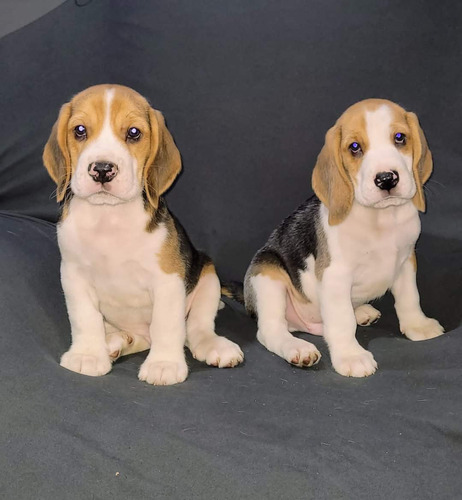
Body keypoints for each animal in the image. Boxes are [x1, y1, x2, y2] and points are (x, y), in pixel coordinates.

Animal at [43, 84, 244, 384]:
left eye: (134, 133)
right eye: (79, 130)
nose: (102, 169)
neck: (109, 217)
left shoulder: (168, 280)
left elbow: (166, 324)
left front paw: (164, 364)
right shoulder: (73, 275)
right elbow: (85, 318)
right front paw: (87, 355)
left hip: (208, 277)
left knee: (196, 327)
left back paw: (213, 346)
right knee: (138, 336)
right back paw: (115, 343)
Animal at [245, 98, 444, 376]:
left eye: (400, 137)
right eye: (354, 147)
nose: (386, 179)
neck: (382, 218)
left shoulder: (406, 262)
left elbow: (409, 298)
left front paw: (418, 325)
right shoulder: (335, 275)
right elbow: (341, 320)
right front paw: (351, 356)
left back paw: (361, 312)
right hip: (267, 276)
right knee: (271, 330)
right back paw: (298, 348)